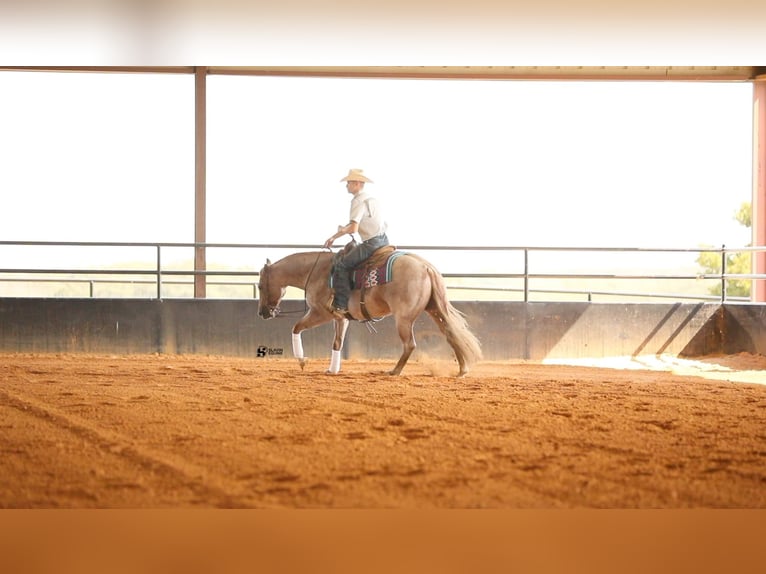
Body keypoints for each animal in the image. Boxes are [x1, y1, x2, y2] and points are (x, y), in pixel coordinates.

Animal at [258, 248, 486, 378]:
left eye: (260, 286)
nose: (262, 313)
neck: (315, 272)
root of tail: (425, 267)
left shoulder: (320, 313)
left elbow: (296, 328)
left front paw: (302, 361)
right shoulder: (340, 318)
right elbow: (337, 343)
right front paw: (332, 370)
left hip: (403, 319)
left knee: (410, 344)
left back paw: (394, 371)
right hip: (433, 309)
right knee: (451, 334)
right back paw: (462, 370)